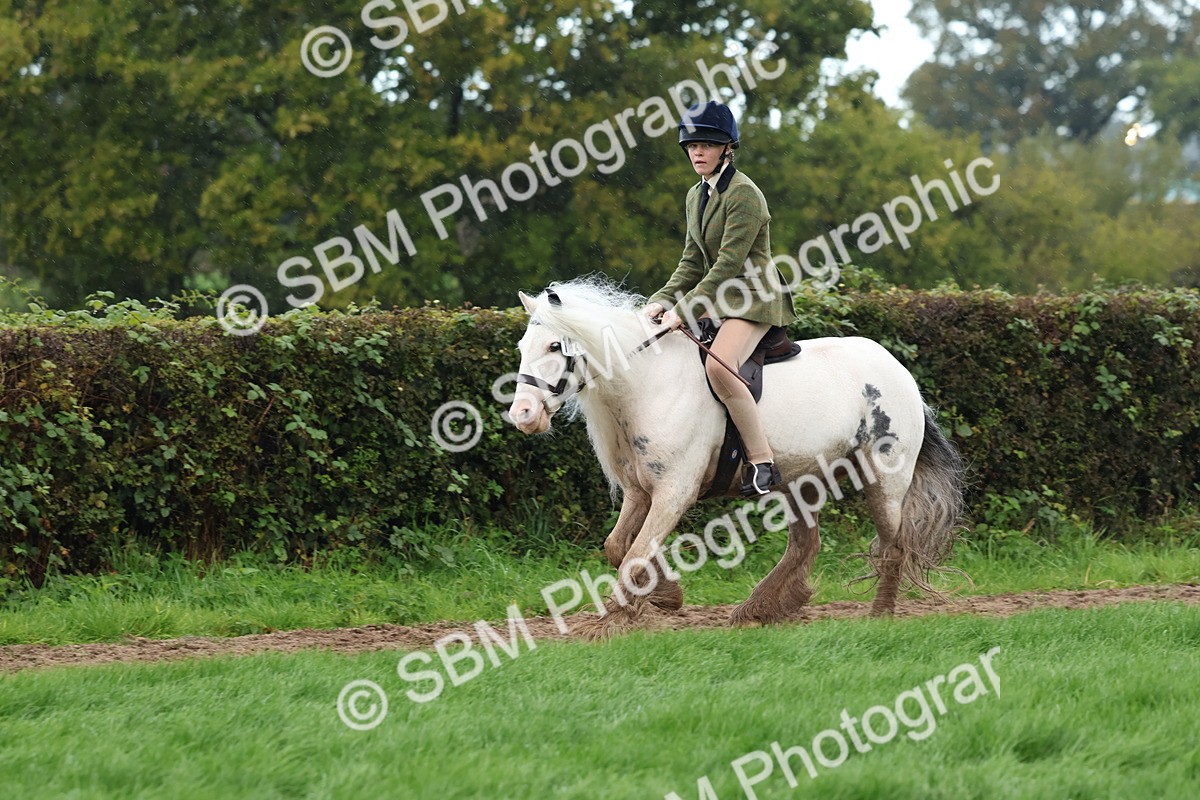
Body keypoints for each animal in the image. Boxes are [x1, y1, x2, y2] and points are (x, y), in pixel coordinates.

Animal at [507, 276, 964, 636]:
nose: (522, 415)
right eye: (522, 345)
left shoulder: (674, 492)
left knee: (892, 545)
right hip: (800, 479)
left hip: (885, 478)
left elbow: (634, 554)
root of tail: (899, 370)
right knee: (806, 544)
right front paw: (665, 595)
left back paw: (878, 617)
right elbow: (617, 546)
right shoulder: (640, 491)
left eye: (555, 345)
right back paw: (763, 608)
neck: (647, 384)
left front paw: (611, 621)